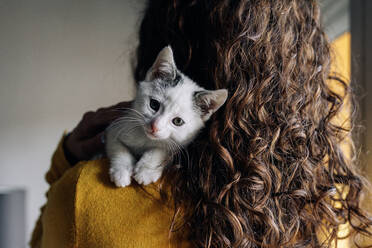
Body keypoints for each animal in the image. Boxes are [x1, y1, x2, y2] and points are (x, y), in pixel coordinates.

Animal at [104, 45, 227, 187]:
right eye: (154, 105)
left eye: (178, 121)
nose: (154, 126)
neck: (146, 140)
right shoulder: (115, 128)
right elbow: (118, 148)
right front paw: (121, 171)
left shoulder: (181, 144)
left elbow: (164, 148)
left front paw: (146, 170)